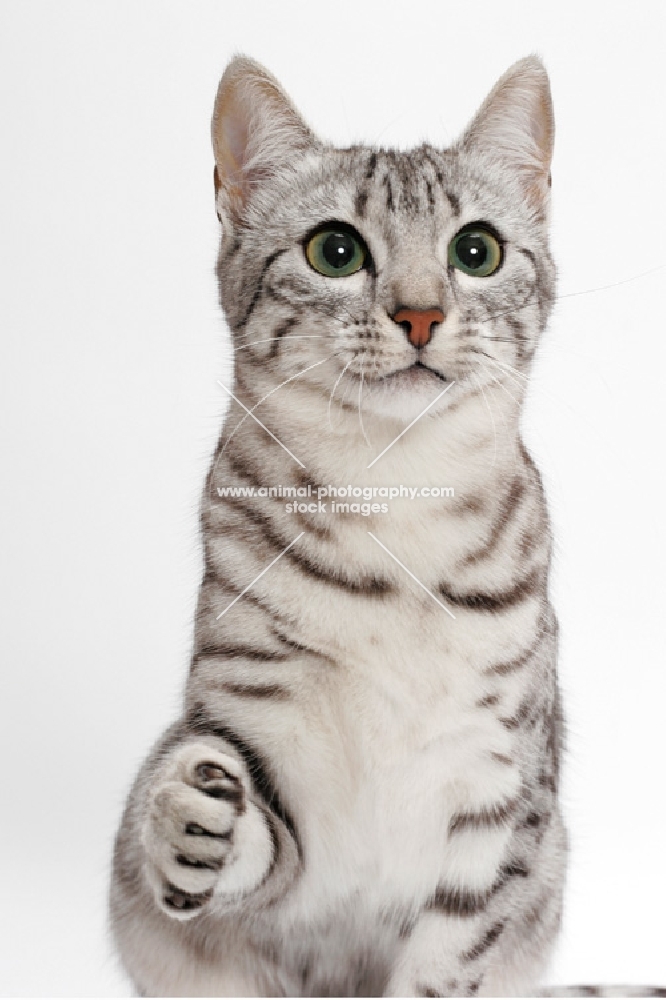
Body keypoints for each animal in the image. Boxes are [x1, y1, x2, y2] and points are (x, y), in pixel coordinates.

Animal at [110, 56, 664, 1000]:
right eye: (335, 251)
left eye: (476, 251)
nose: (420, 315)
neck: (392, 497)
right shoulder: (252, 719)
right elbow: (236, 822)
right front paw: (187, 813)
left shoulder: (501, 789)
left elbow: (450, 958)